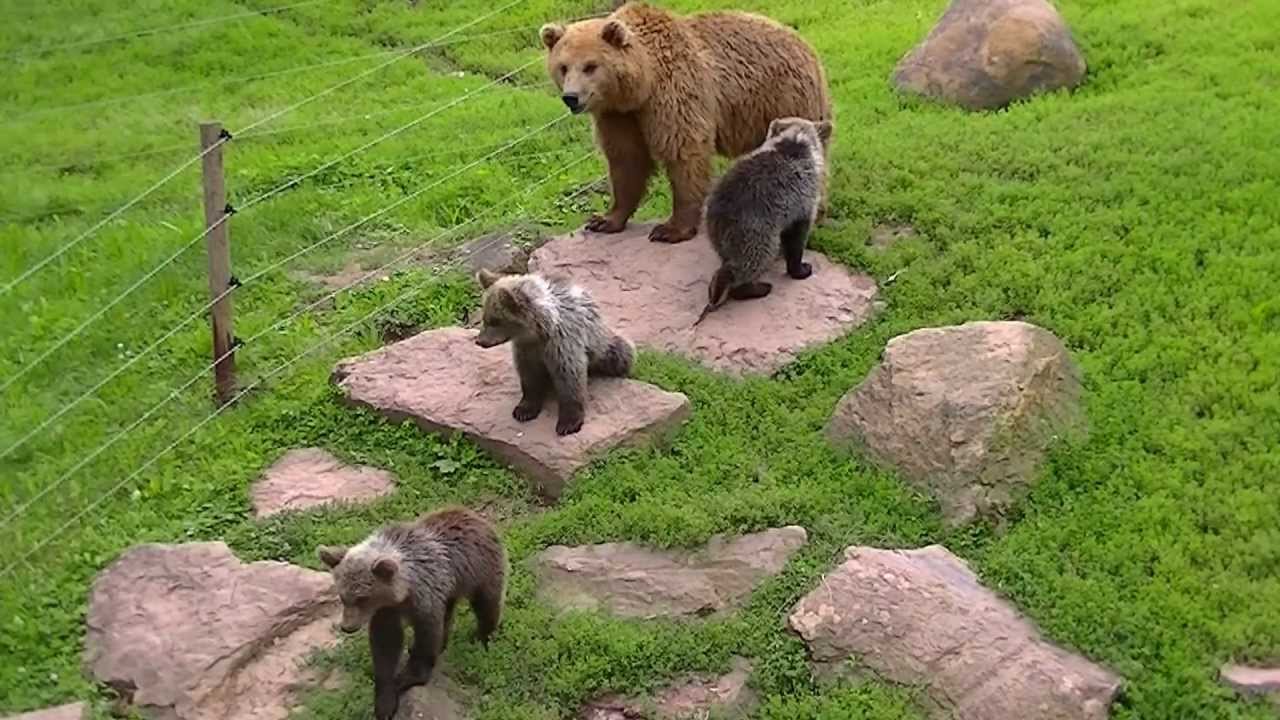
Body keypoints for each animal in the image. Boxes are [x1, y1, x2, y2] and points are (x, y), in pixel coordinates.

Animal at [540, 1, 833, 244]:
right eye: (563, 67)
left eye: (590, 66)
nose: (571, 98)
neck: (641, 85)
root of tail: (805, 45)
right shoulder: (618, 116)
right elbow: (626, 159)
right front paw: (605, 219)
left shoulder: (674, 92)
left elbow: (683, 151)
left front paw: (670, 229)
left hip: (785, 99)